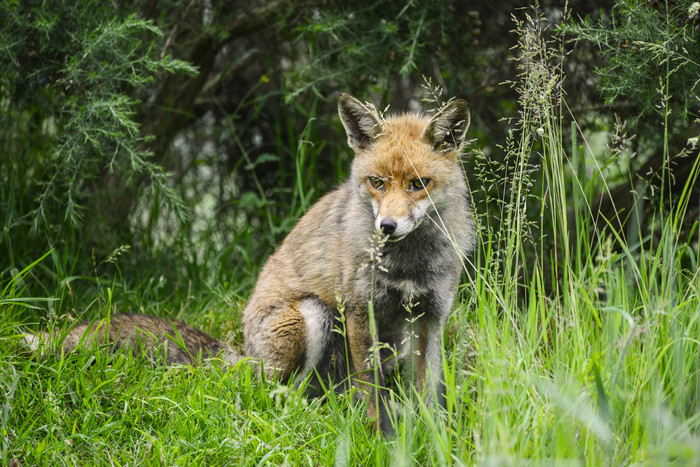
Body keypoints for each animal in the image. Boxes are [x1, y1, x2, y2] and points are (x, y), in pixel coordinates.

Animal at [26, 93, 476, 436]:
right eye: (377, 182)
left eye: (419, 184)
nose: (387, 226)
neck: (408, 266)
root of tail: (241, 352)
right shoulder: (360, 311)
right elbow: (370, 392)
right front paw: (378, 436)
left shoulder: (431, 317)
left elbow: (430, 390)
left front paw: (435, 436)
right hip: (313, 316)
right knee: (277, 393)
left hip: (389, 344)